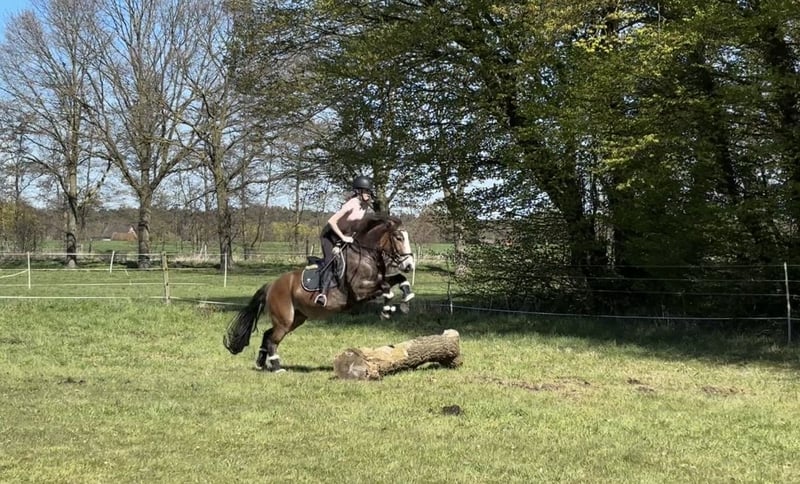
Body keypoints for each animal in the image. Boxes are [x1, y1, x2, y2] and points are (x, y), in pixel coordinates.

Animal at [223, 214, 415, 372]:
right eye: (398, 237)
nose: (409, 265)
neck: (366, 254)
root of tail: (272, 285)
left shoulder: (377, 281)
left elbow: (399, 278)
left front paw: (405, 303)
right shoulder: (361, 290)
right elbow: (387, 288)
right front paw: (387, 311)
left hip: (296, 319)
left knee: (267, 334)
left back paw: (261, 363)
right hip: (285, 319)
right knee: (272, 339)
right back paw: (277, 367)